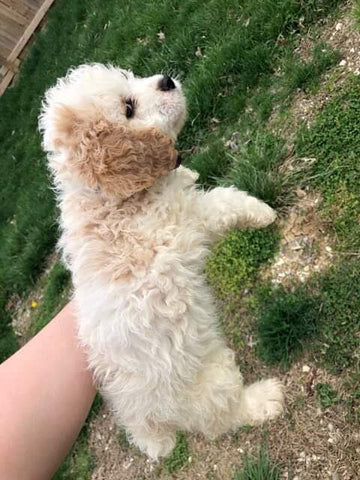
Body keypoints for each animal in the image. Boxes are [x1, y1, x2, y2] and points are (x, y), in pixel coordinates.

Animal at [38, 62, 282, 458]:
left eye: (130, 78)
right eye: (128, 108)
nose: (166, 81)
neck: (111, 199)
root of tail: (144, 421)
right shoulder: (184, 225)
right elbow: (222, 202)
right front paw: (261, 211)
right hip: (210, 377)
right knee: (222, 416)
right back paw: (264, 400)